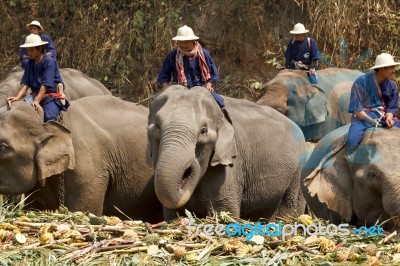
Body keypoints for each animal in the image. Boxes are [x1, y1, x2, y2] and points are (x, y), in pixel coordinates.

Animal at [148, 84, 308, 220]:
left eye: (203, 131)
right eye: (157, 126)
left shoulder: (230, 167)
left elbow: (224, 211)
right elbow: (171, 215)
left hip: (298, 170)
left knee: (290, 208)